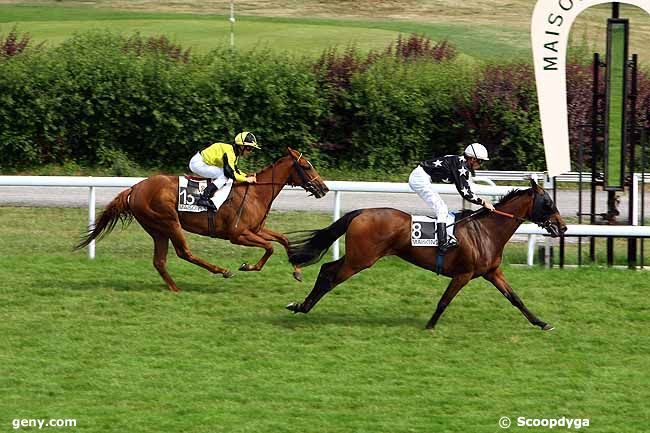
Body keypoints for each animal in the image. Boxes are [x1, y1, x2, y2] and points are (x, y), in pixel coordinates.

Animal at [76, 147, 326, 292]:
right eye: (306, 166)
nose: (323, 188)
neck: (256, 193)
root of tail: (134, 188)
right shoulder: (238, 235)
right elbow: (270, 248)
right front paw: (247, 266)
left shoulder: (256, 229)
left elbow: (283, 239)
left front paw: (297, 270)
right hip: (169, 222)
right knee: (184, 252)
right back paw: (221, 271)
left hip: (157, 229)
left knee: (160, 261)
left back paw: (175, 288)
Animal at [286, 179, 564, 330]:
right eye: (548, 203)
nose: (562, 227)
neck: (486, 231)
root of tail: (361, 212)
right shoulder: (463, 274)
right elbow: (444, 301)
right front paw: (430, 325)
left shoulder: (492, 272)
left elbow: (516, 298)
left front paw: (541, 323)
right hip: (360, 259)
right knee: (330, 274)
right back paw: (302, 306)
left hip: (357, 257)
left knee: (326, 270)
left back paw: (301, 305)